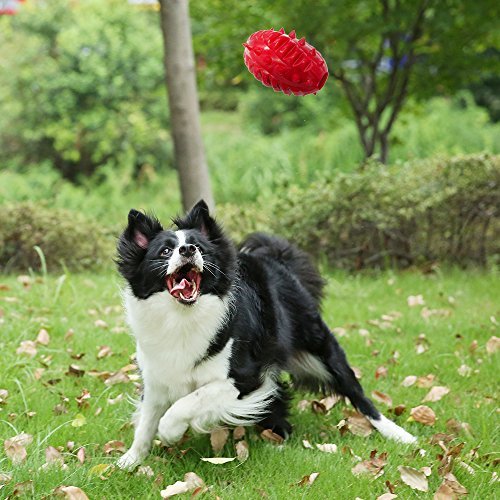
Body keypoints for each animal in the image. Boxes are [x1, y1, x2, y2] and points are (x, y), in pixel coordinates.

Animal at [115, 199, 416, 468]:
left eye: (199, 247)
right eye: (165, 251)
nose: (188, 250)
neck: (181, 317)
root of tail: (274, 257)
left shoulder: (243, 378)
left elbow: (186, 403)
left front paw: (170, 432)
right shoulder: (157, 376)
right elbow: (147, 420)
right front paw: (131, 460)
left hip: (320, 345)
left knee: (356, 392)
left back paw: (400, 435)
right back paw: (278, 434)